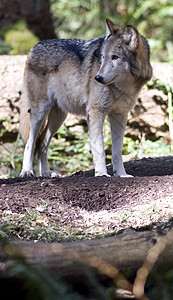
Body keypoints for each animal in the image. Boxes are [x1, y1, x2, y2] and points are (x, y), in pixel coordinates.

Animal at [19, 18, 152, 178]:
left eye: (115, 57)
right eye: (103, 57)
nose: (97, 78)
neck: (123, 87)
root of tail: (33, 47)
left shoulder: (119, 115)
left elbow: (117, 151)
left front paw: (121, 174)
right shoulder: (95, 112)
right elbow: (99, 148)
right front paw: (101, 174)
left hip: (58, 118)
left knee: (42, 143)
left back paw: (46, 173)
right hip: (39, 112)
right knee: (30, 142)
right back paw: (27, 171)